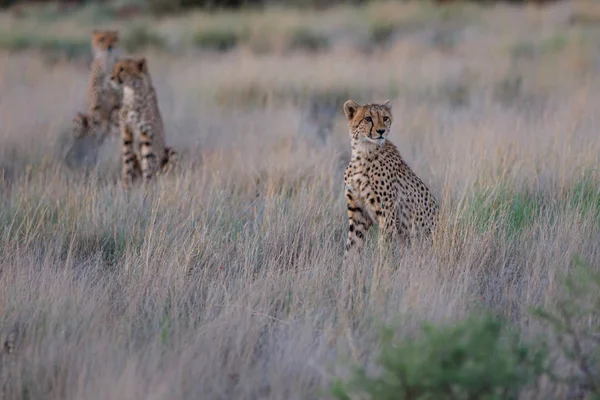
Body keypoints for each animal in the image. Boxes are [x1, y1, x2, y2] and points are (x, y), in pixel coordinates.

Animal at [109, 56, 175, 188]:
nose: (111, 77)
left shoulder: (146, 133)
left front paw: (147, 186)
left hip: (170, 152)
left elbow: (147, 160)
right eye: (114, 68)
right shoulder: (127, 133)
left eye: (122, 69)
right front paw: (126, 186)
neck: (132, 93)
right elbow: (127, 161)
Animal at [342, 98, 440, 258]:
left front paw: (381, 264)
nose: (381, 131)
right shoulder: (358, 213)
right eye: (368, 118)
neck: (364, 151)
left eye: (385, 118)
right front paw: (347, 265)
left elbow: (384, 248)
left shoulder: (387, 214)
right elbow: (351, 248)